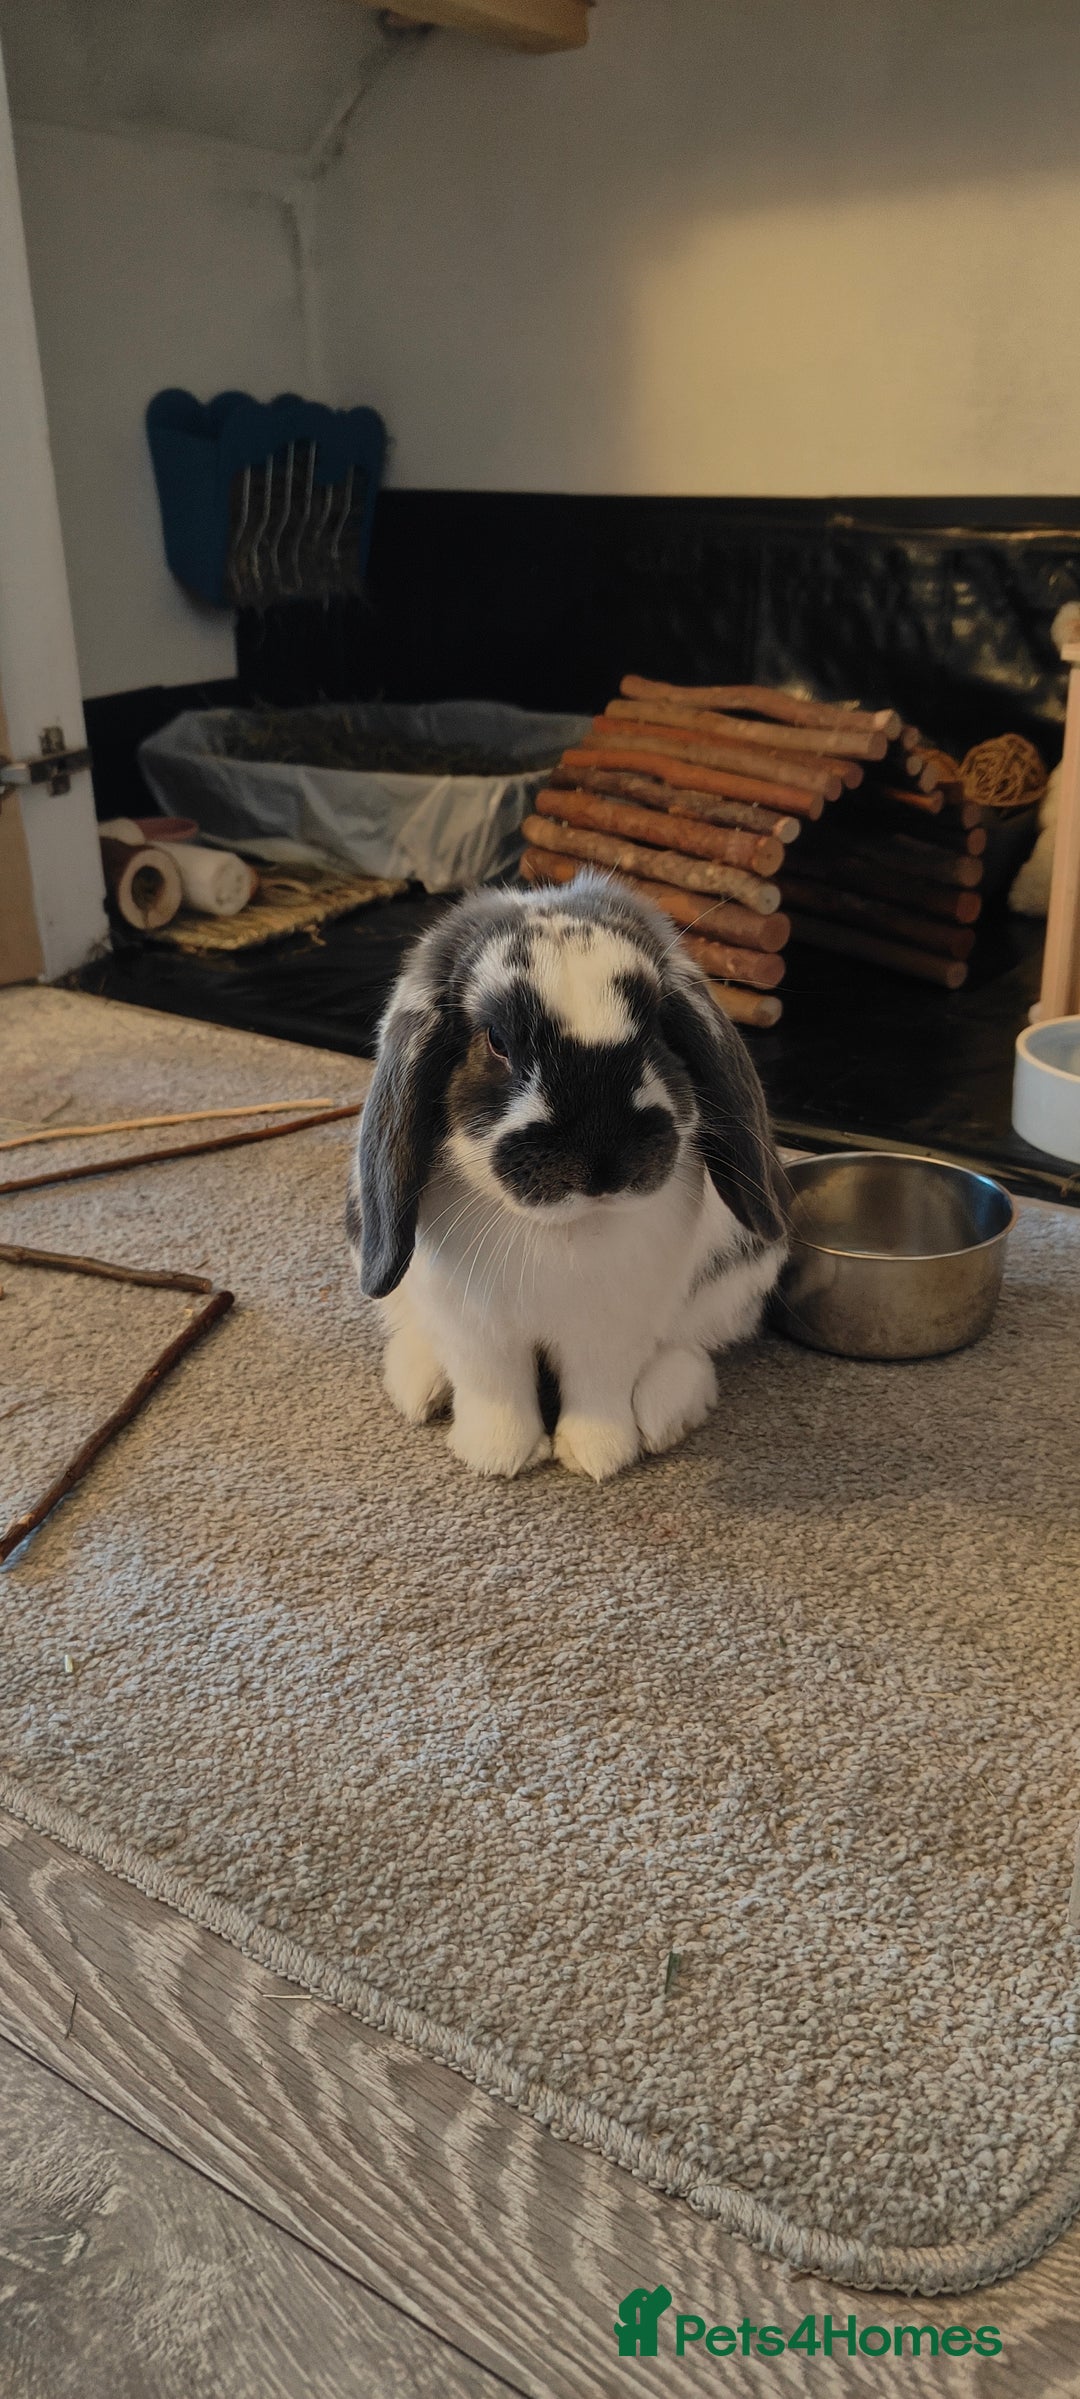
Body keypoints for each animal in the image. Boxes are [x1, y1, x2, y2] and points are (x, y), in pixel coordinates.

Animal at [346, 870, 788, 1481]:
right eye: (496, 1041)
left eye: (655, 1028)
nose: (602, 1163)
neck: (564, 1229)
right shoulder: (476, 1330)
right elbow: (495, 1389)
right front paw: (499, 1458)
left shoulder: (609, 1330)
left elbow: (599, 1390)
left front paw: (597, 1457)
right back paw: (420, 1387)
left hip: (736, 1277)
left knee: (693, 1346)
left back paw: (662, 1414)